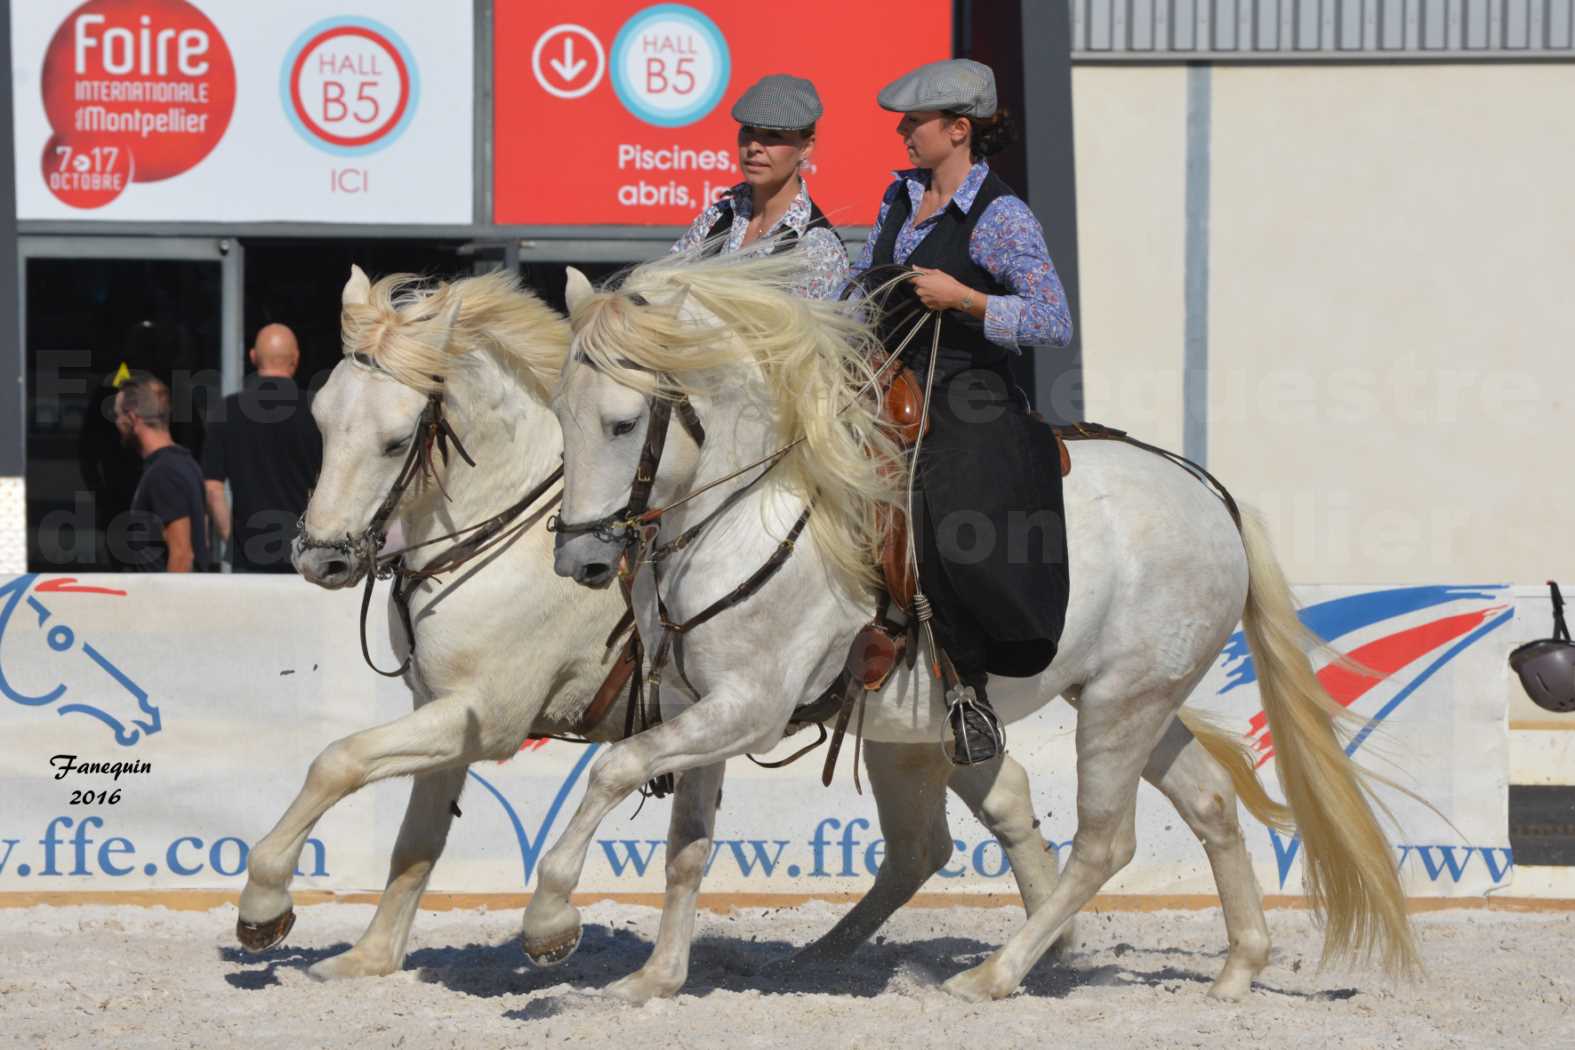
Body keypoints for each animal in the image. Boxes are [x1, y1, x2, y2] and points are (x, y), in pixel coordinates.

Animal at [548, 250, 1423, 1007]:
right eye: (561, 414)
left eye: (622, 424)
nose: (578, 558)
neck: (746, 513)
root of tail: (1208, 492)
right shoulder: (693, 704)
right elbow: (686, 846)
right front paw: (654, 979)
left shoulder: (748, 708)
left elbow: (613, 770)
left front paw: (549, 921)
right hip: (1136, 699)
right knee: (1207, 802)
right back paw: (1237, 968)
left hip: (1120, 704)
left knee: (1103, 843)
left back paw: (994, 974)